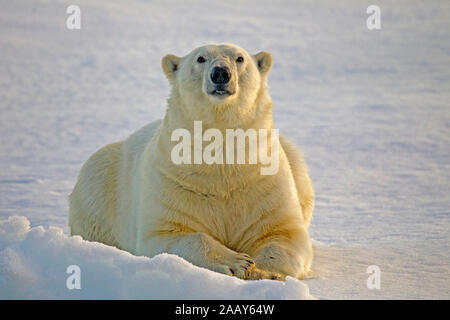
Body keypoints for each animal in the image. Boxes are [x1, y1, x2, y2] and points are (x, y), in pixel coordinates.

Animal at [70, 43, 314, 280]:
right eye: (201, 58)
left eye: (240, 58)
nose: (220, 73)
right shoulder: (171, 184)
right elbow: (172, 234)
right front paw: (236, 261)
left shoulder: (264, 184)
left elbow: (284, 234)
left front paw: (263, 271)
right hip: (100, 180)